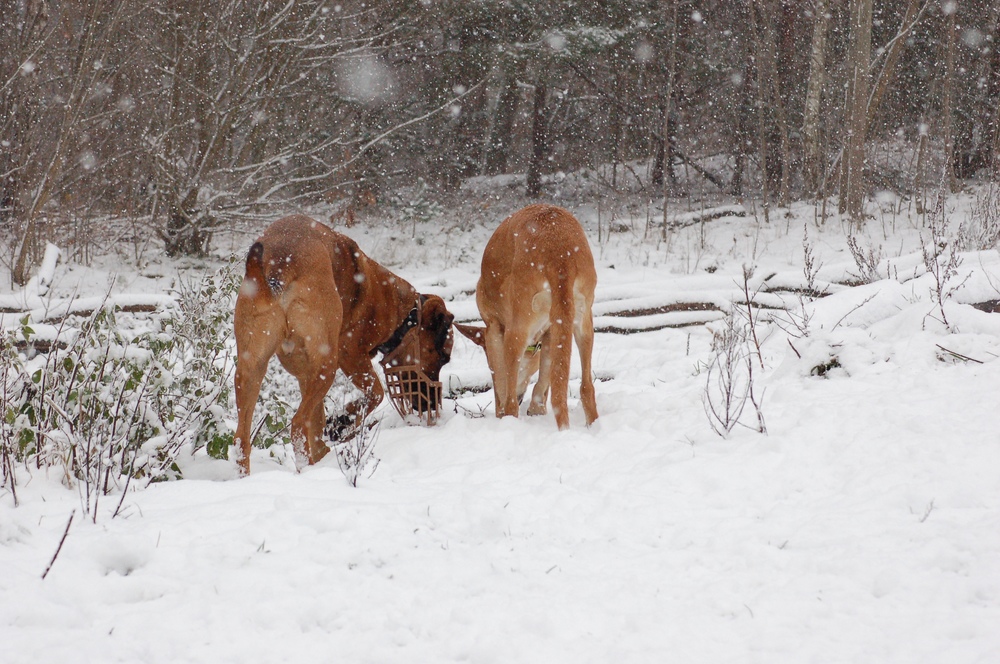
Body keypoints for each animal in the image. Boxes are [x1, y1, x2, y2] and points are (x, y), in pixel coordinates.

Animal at [234, 215, 454, 474]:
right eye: (443, 358)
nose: (431, 406)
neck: (403, 315)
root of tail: (280, 266)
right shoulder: (351, 356)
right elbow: (375, 394)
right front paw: (341, 424)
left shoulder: (306, 374)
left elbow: (317, 423)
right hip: (327, 363)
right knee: (297, 424)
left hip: (252, 367)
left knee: (242, 439)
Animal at [458, 204, 596, 430]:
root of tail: (560, 253)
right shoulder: (551, 332)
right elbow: (546, 379)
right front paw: (536, 407)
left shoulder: (493, 329)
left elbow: (501, 382)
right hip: (584, 325)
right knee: (586, 388)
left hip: (516, 330)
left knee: (512, 404)